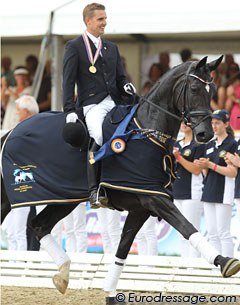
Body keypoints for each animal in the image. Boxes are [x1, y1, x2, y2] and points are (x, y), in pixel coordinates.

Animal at [0, 55, 239, 300]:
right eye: (194, 88)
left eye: (213, 91)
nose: (205, 134)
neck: (146, 132)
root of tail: (10, 133)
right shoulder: (154, 198)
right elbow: (186, 226)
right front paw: (225, 262)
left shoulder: (141, 207)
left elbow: (122, 250)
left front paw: (111, 293)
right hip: (10, 200)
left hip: (63, 199)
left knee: (39, 225)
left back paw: (64, 273)